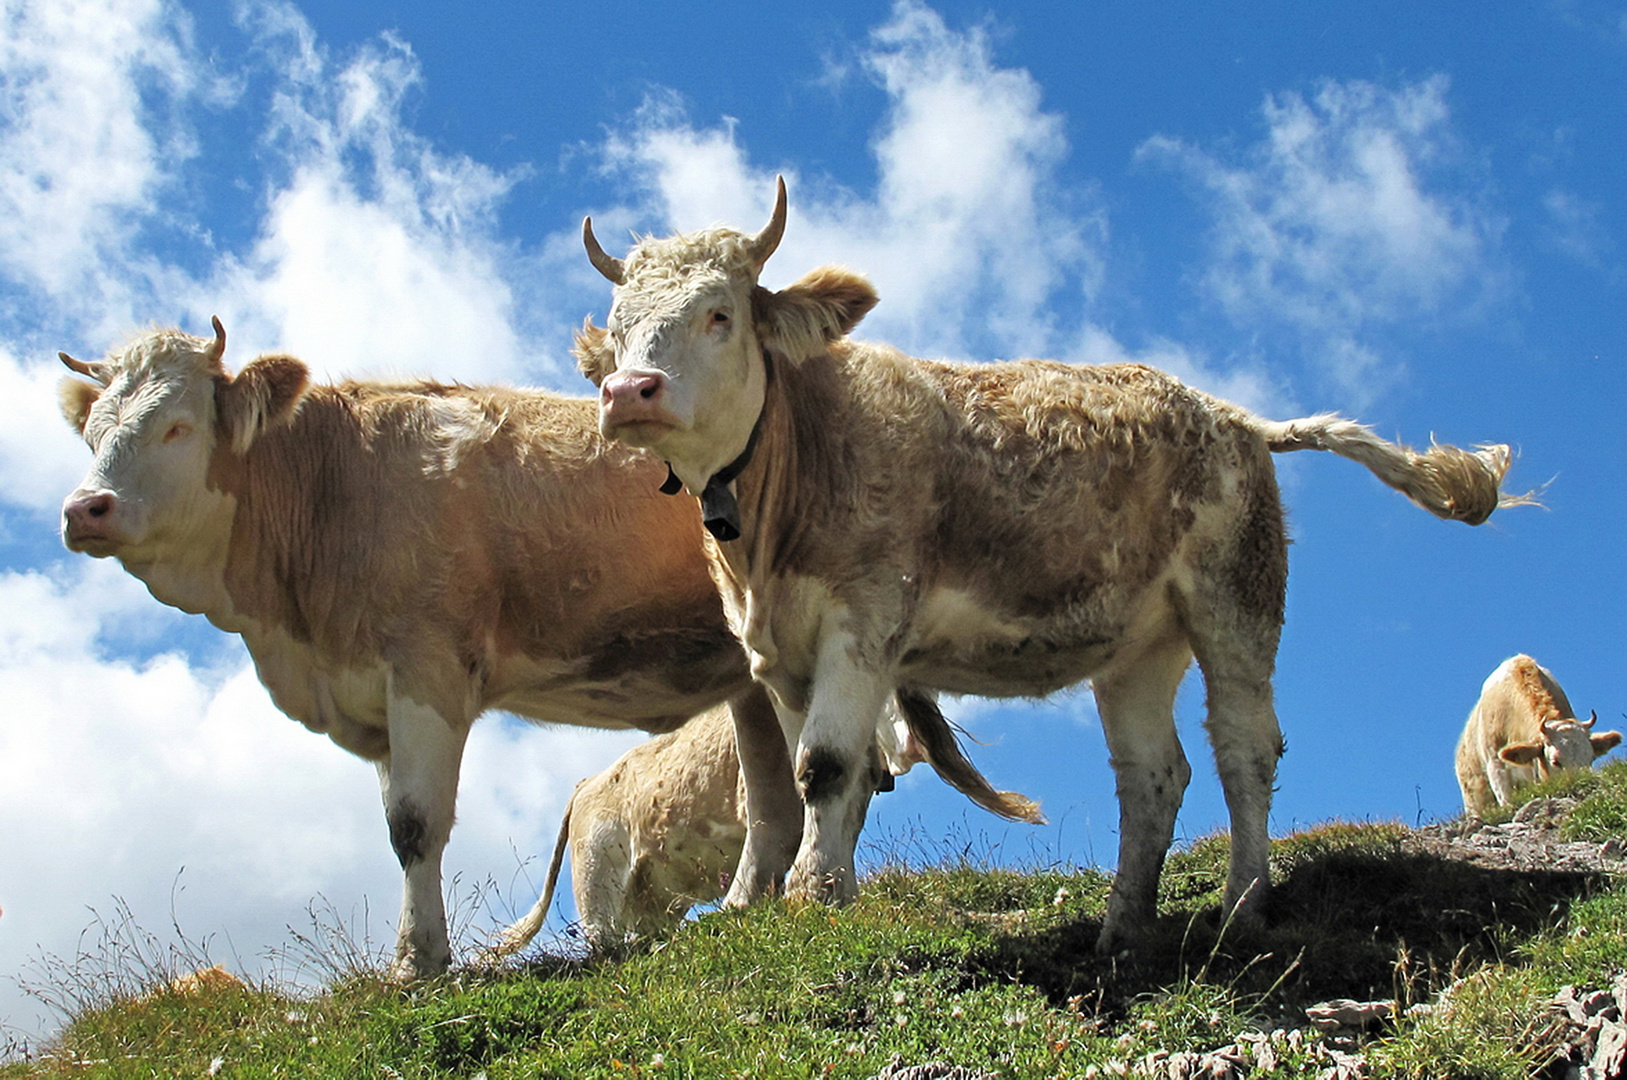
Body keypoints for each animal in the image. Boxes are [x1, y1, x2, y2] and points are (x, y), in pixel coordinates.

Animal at [579, 177, 1529, 956]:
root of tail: (1234, 417)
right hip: (1141, 645)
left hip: (1235, 601)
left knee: (1244, 749)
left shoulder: (865, 617)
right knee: (1154, 775)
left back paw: (1241, 907)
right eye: (619, 332)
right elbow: (831, 777)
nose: (629, 393)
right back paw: (1122, 927)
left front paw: (814, 900)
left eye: (719, 313)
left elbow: (828, 767)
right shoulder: (781, 653)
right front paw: (829, 898)